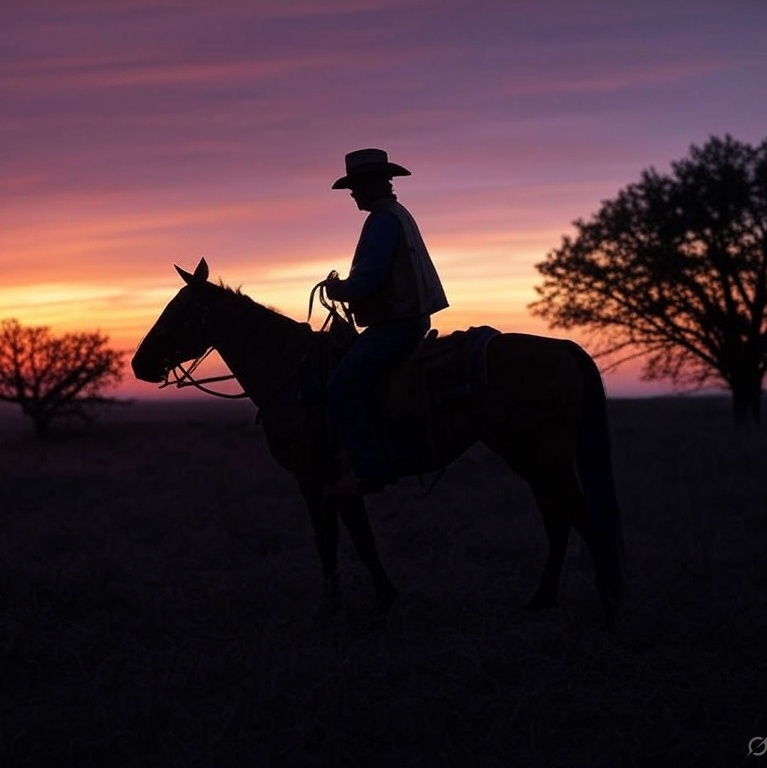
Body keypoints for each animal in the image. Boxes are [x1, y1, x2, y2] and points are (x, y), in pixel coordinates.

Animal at [131, 258, 625, 625]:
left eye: (179, 312)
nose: (140, 364)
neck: (293, 373)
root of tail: (563, 347)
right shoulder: (339, 481)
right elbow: (360, 535)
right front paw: (383, 598)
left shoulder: (315, 478)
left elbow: (330, 539)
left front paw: (335, 610)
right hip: (534, 459)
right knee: (559, 518)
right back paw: (543, 599)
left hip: (541, 458)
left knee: (577, 515)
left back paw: (608, 601)